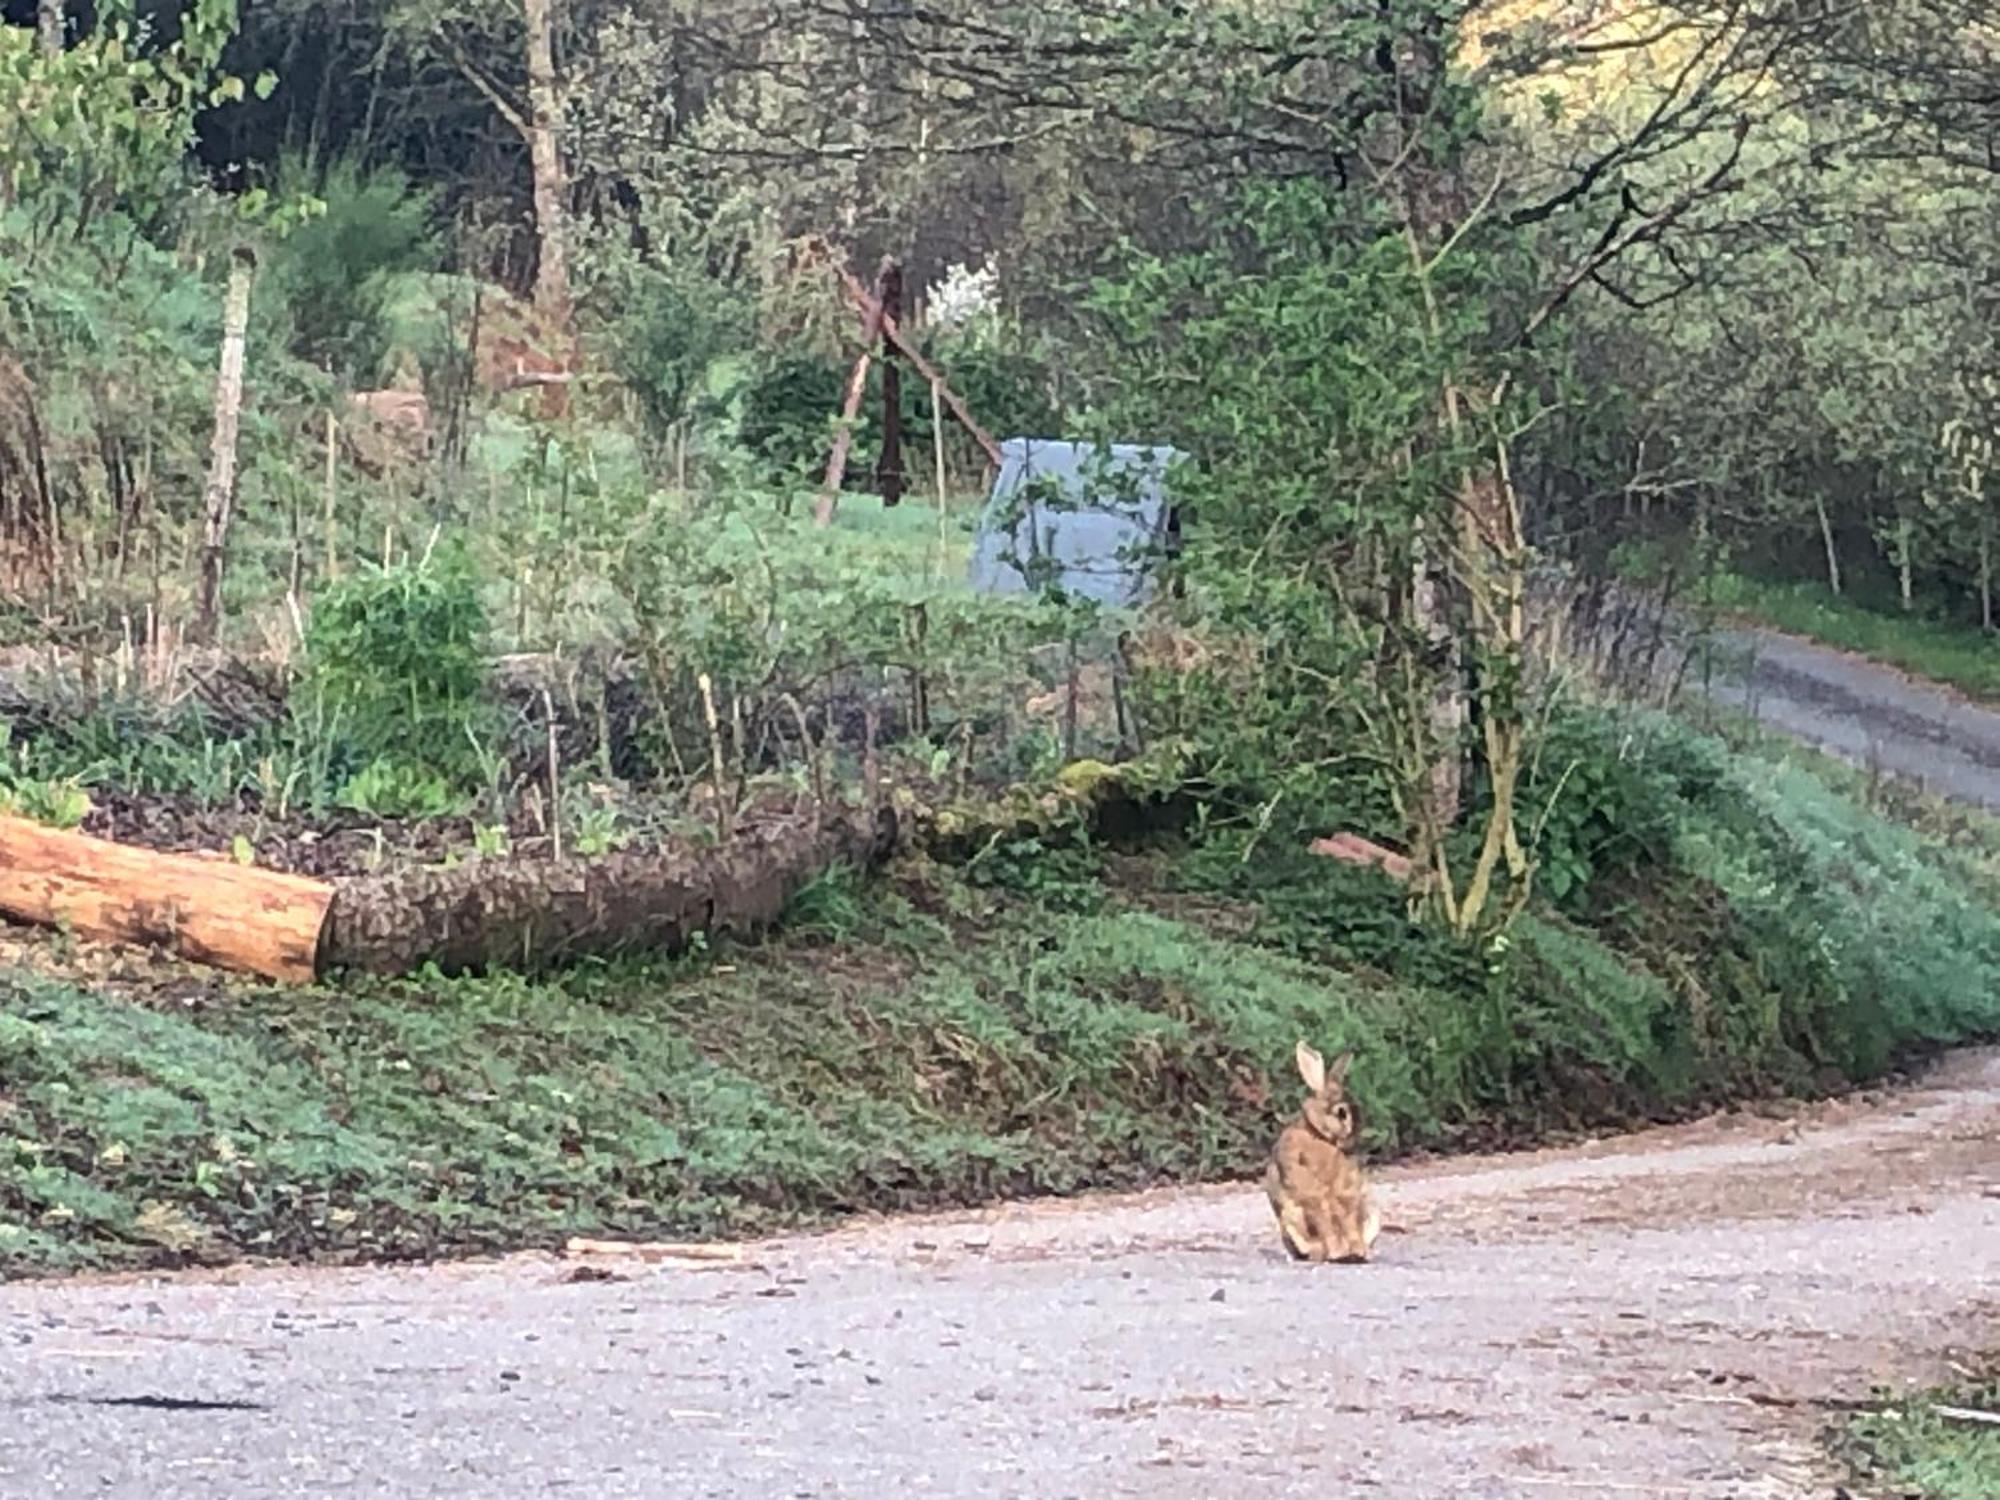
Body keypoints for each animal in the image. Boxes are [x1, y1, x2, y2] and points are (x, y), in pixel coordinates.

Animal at [1264, 1048, 1376, 1272]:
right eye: (1341, 1112)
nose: (1355, 1137)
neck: (1318, 1135)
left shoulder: (1346, 1194)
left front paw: (1355, 1252)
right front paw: (1341, 1253)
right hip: (1291, 1220)